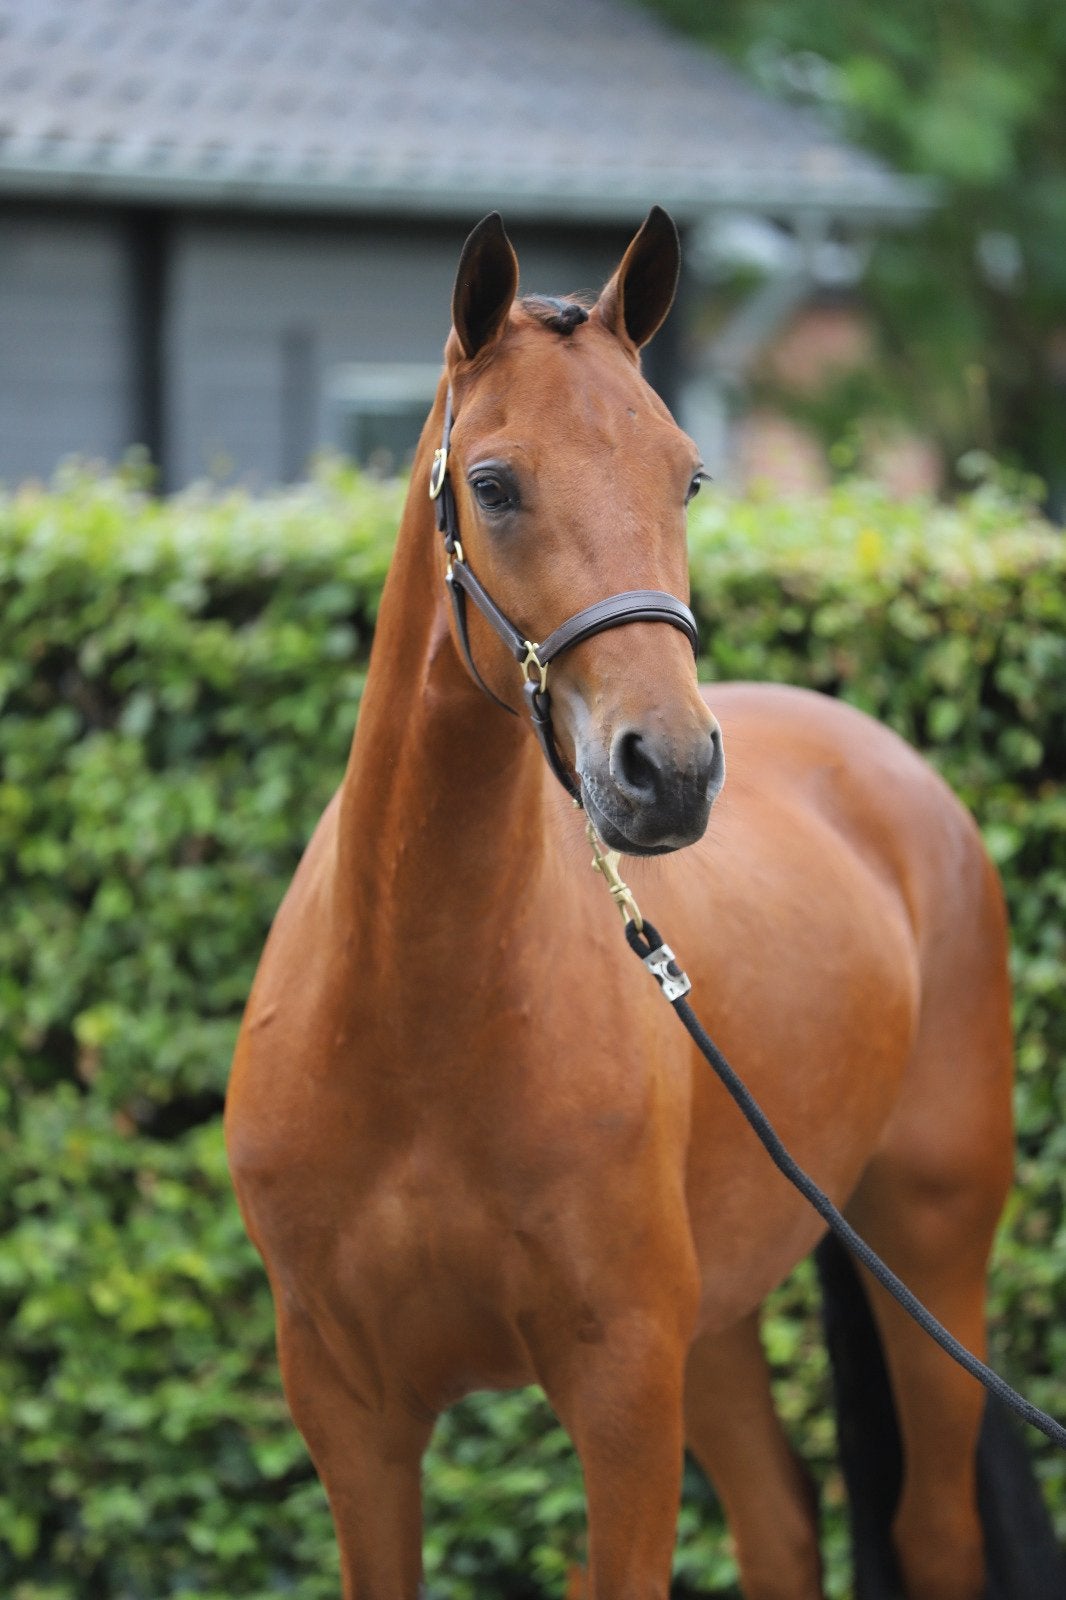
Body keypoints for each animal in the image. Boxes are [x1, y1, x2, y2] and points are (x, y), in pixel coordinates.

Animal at [225, 208, 1059, 1599]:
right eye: (493, 484)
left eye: (687, 478)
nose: (666, 770)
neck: (412, 1021)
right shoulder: (353, 1416)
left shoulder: (621, 1392)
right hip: (716, 1325)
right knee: (781, 1522)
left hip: (928, 1252)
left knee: (930, 1531)